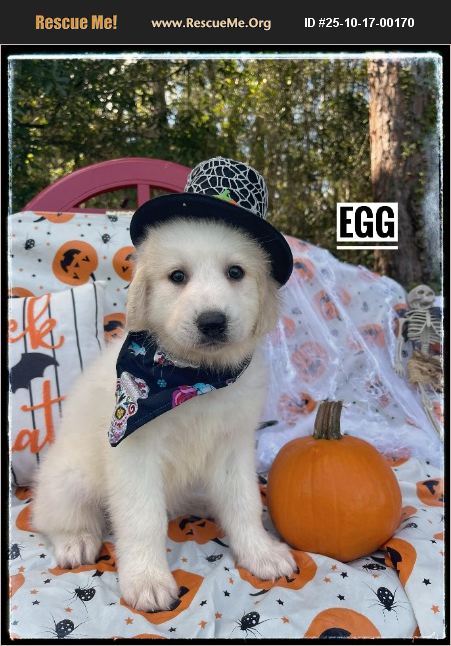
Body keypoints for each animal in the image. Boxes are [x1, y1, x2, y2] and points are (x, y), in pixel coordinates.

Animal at [33, 217, 296, 611]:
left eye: (235, 272)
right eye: (177, 276)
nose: (212, 321)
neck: (196, 378)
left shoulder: (233, 445)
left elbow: (244, 501)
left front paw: (260, 553)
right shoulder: (133, 452)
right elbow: (143, 519)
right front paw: (147, 579)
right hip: (71, 479)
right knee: (51, 515)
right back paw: (76, 540)